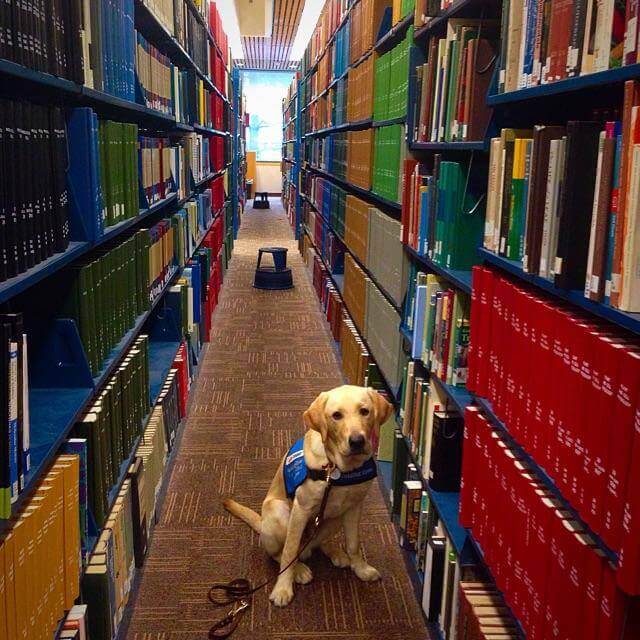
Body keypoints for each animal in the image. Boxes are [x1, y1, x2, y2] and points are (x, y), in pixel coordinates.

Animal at [225, 384, 396, 604]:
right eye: (336, 415)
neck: (338, 469)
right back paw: (298, 570)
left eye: (365, 411)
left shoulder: (355, 506)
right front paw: (282, 588)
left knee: (317, 542)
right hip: (278, 511)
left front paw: (361, 568)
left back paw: (336, 553)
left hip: (335, 517)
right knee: (282, 552)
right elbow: (289, 551)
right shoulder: (301, 510)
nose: (357, 441)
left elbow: (353, 543)